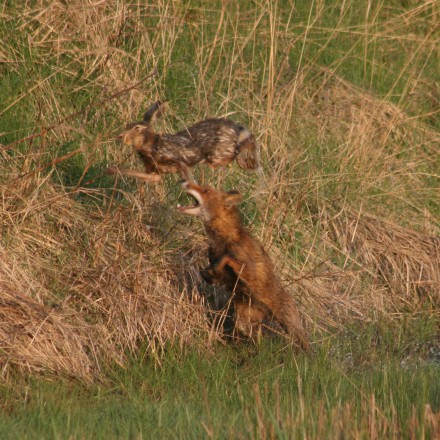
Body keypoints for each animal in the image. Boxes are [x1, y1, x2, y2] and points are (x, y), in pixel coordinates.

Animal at [106, 100, 260, 182]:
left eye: (137, 128)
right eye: (128, 125)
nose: (120, 136)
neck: (153, 145)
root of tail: (239, 130)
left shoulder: (178, 162)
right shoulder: (154, 170)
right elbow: (150, 177)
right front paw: (112, 170)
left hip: (220, 153)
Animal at [177, 180, 308, 348]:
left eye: (206, 190)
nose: (185, 182)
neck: (225, 239)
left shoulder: (248, 269)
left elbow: (227, 259)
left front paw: (213, 268)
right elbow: (216, 269)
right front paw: (208, 273)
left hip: (290, 325)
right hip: (244, 317)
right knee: (250, 333)